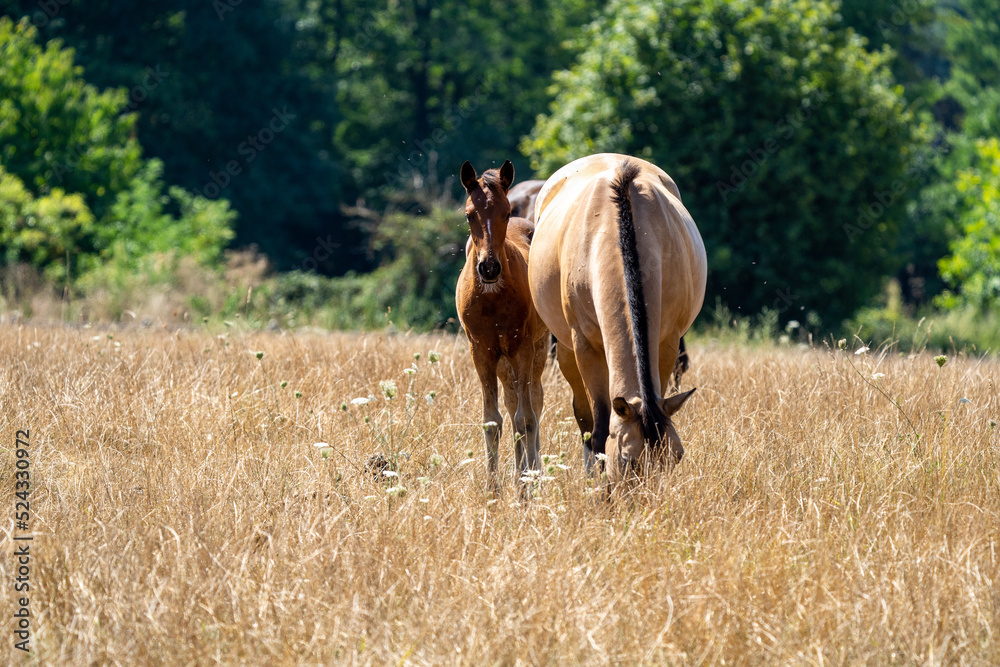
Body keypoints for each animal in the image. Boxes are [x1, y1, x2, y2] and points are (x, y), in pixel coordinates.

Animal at [456, 160, 550, 493]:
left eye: (506, 212)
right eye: (469, 214)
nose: (489, 268)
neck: (493, 296)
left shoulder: (522, 348)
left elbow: (526, 417)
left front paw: (526, 488)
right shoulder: (482, 352)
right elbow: (493, 420)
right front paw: (493, 490)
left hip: (537, 349)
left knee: (533, 403)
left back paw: (533, 472)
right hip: (503, 361)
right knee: (511, 403)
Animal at [528, 154, 707, 485]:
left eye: (676, 456)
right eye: (628, 461)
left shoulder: (667, 344)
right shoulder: (586, 348)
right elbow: (598, 431)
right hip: (567, 351)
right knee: (583, 418)